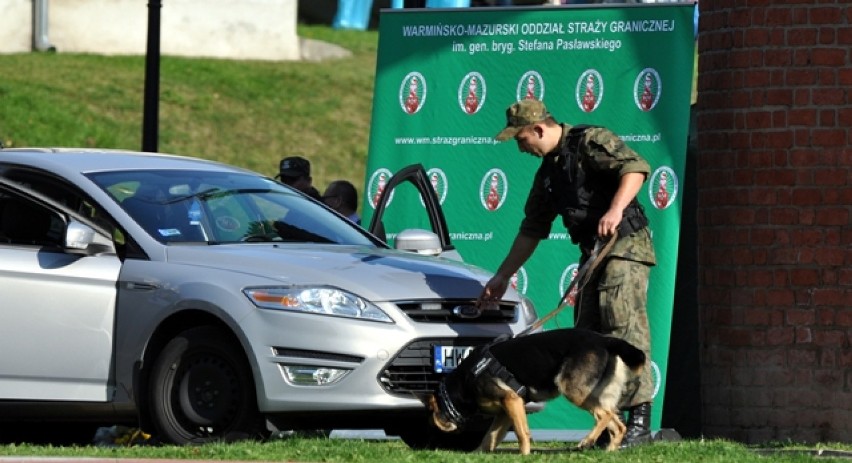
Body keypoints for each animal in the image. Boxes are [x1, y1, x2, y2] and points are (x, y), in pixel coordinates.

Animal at [426, 328, 644, 454]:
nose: (433, 425)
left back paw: (588, 440)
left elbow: (521, 432)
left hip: (573, 389)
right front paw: (476, 455)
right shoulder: (505, 411)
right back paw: (609, 451)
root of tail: (604, 340)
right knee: (618, 425)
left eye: (431, 410)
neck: (464, 382)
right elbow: (489, 438)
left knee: (604, 415)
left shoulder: (512, 400)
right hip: (597, 395)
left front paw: (524, 456)